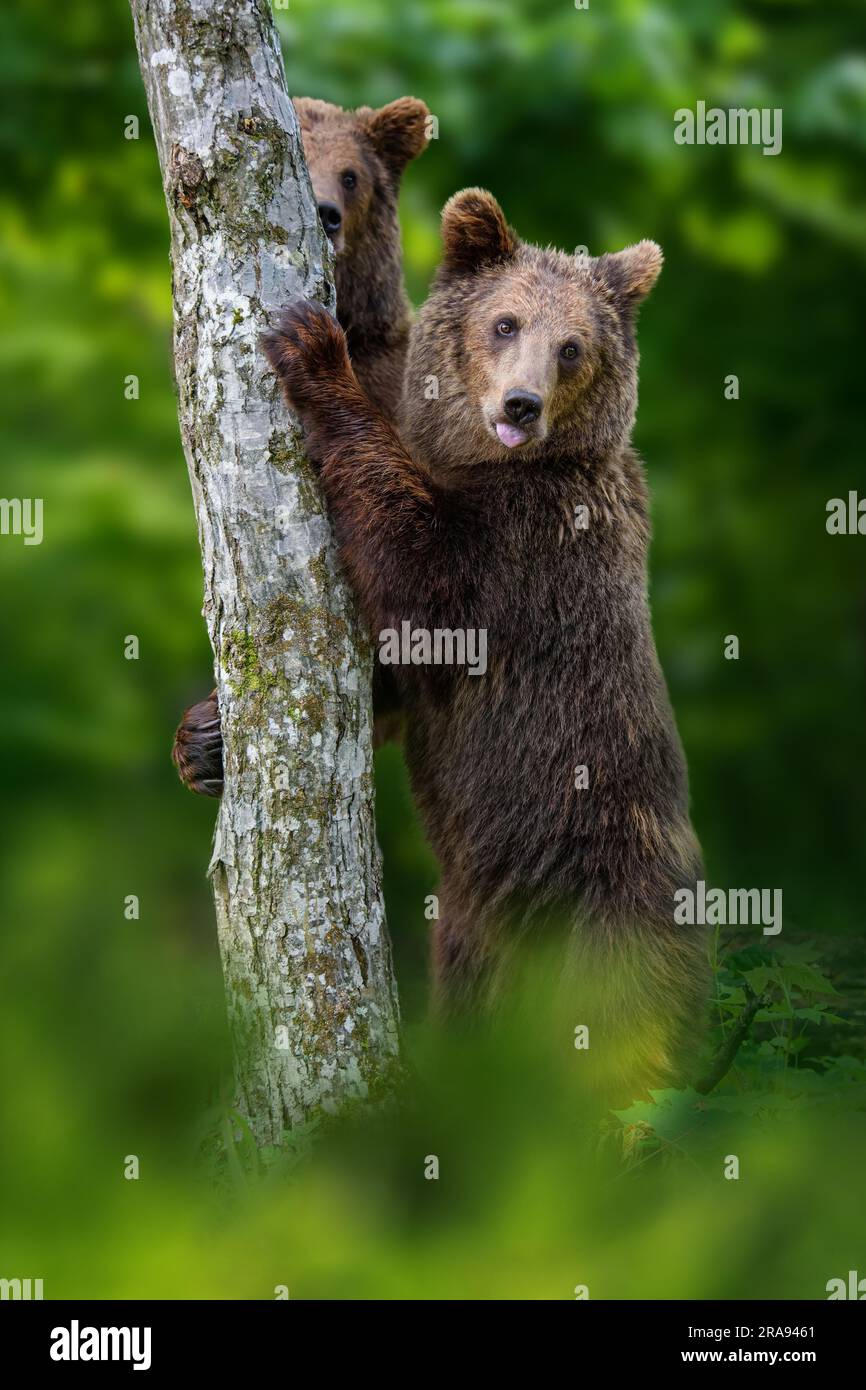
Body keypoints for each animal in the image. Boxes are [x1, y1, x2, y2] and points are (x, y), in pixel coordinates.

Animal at [264, 190, 711, 1095]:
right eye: (506, 322)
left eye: (572, 346)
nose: (520, 405)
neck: (479, 463)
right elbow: (397, 678)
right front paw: (204, 737)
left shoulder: (533, 546)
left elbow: (422, 587)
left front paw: (313, 350)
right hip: (472, 949)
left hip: (609, 922)